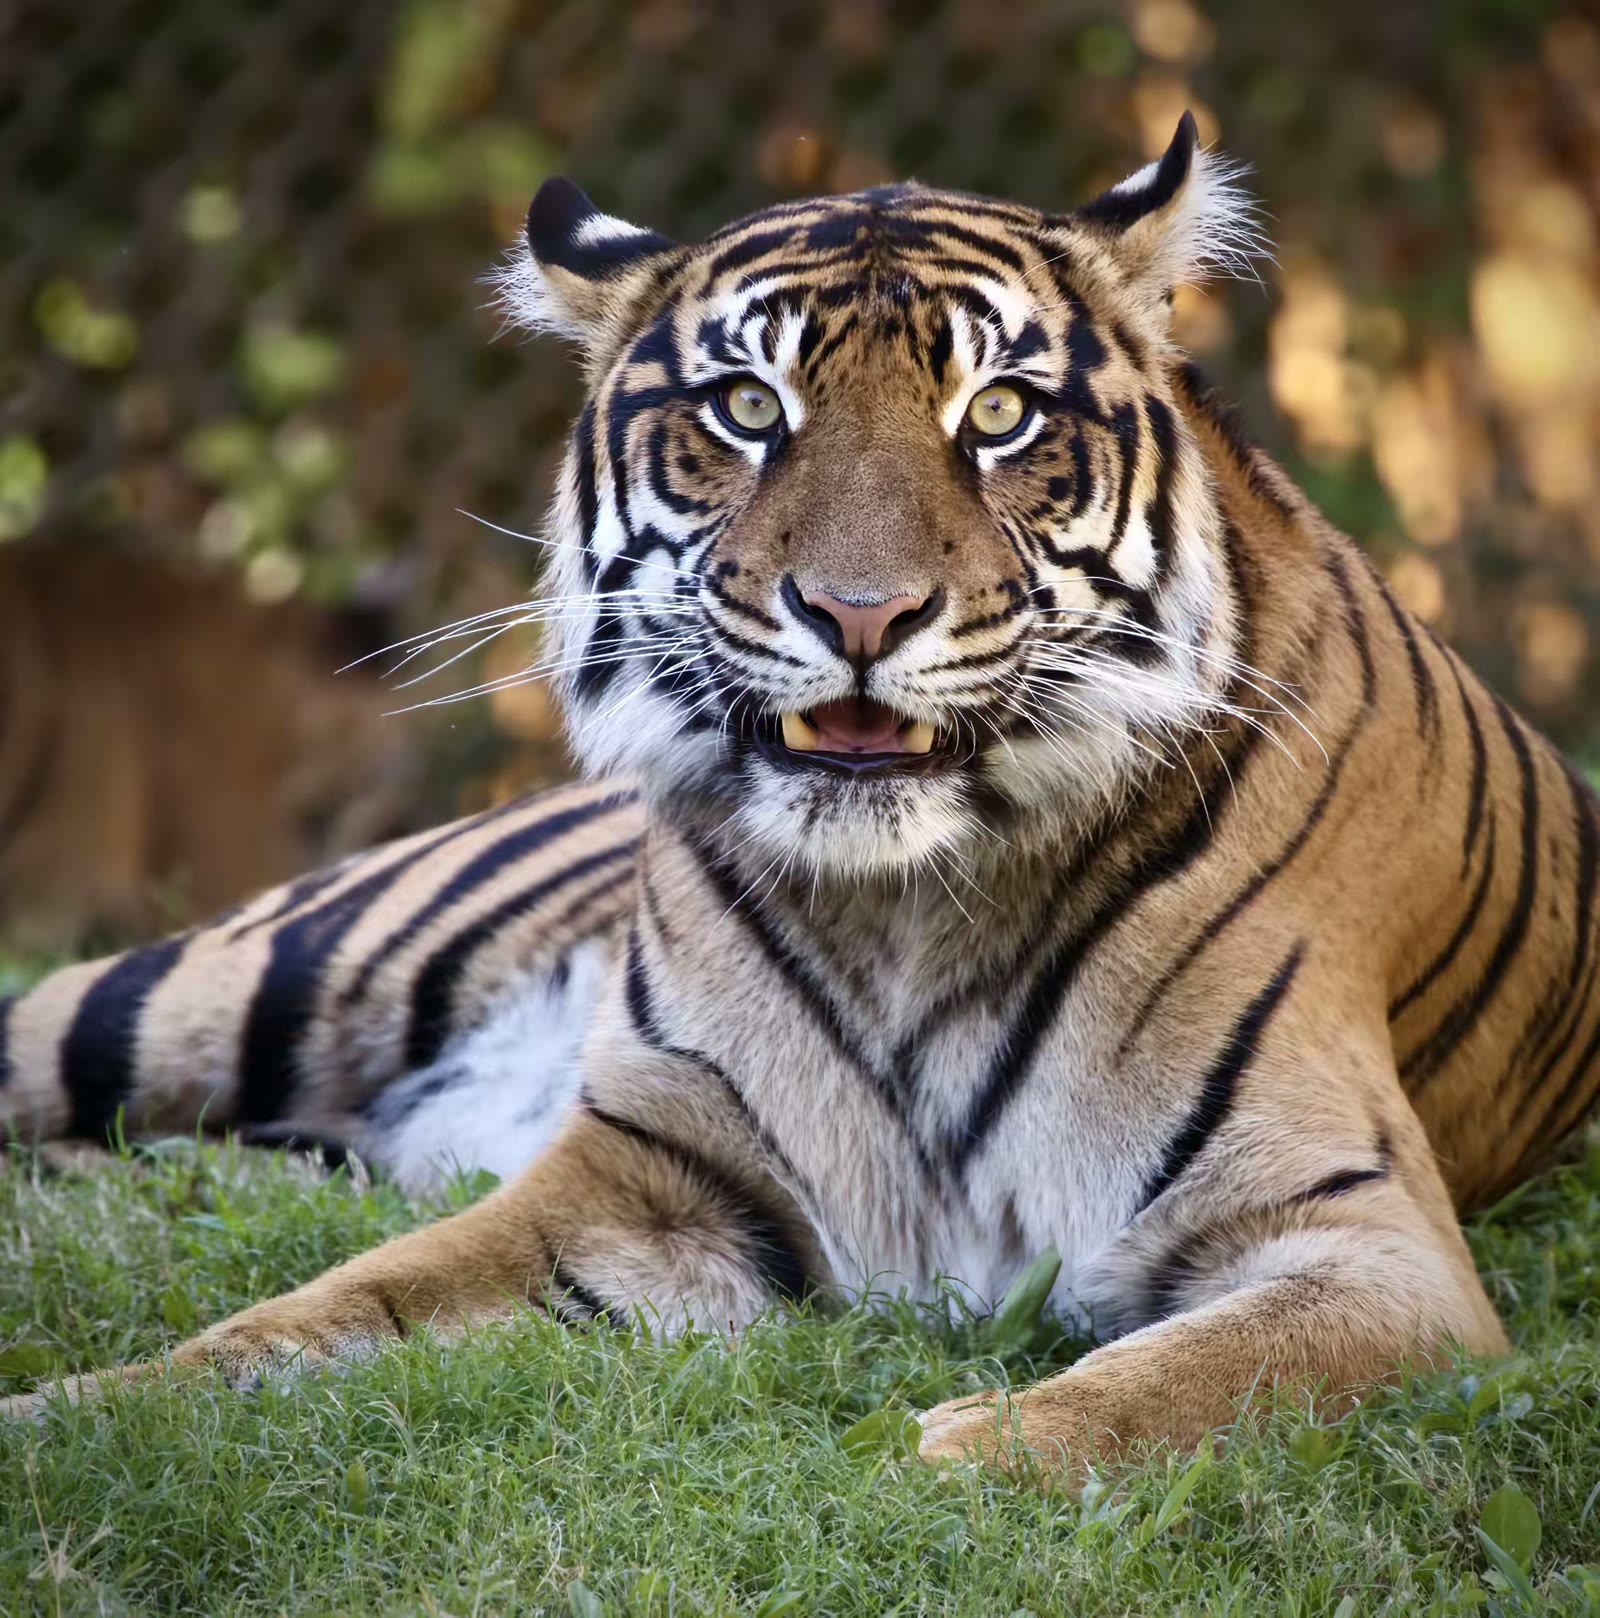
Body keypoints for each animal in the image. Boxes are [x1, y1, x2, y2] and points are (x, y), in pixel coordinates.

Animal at [3, 113, 1595, 1476]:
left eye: (998, 413)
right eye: (747, 407)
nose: (859, 612)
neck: (911, 913)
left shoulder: (1366, 1244)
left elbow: (1169, 1383)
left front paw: (950, 1459)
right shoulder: (640, 1182)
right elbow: (311, 1316)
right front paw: (73, 1417)